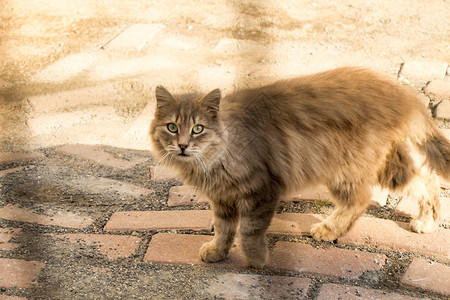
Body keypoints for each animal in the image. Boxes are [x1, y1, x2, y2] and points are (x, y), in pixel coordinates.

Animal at [149, 67, 450, 268]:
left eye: (198, 129)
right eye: (172, 127)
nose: (183, 145)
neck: (213, 158)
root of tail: (402, 93)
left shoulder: (262, 190)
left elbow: (249, 231)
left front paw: (257, 260)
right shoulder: (222, 199)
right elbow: (223, 229)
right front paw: (217, 251)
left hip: (345, 171)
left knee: (361, 199)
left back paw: (329, 229)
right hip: (389, 167)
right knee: (425, 179)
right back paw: (427, 221)